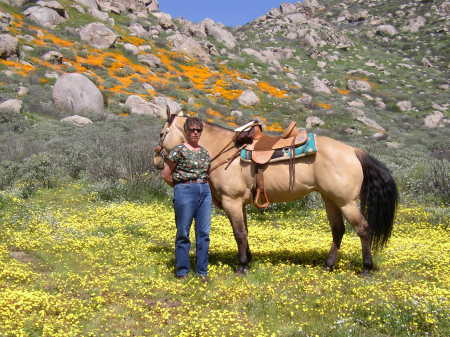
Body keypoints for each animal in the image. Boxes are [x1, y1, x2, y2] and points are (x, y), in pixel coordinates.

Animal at [154, 112, 398, 272]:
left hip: (346, 202)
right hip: (330, 200)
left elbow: (239, 233)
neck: (223, 151)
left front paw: (242, 266)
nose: (156, 160)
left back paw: (366, 267)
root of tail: (354, 151)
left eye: (162, 133)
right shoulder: (241, 204)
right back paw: (328, 265)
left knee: (363, 229)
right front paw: (248, 259)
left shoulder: (232, 202)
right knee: (338, 231)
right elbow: (245, 232)